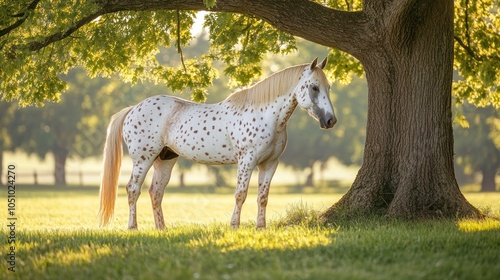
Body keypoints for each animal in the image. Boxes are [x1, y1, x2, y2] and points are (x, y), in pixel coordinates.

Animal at [97, 57, 336, 230]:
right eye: (314, 88)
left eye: (328, 87)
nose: (330, 121)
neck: (268, 116)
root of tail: (133, 108)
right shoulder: (246, 161)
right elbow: (241, 194)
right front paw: (234, 226)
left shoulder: (270, 164)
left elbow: (263, 197)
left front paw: (261, 227)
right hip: (143, 159)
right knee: (132, 189)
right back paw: (132, 227)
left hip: (164, 160)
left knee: (155, 192)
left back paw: (161, 228)